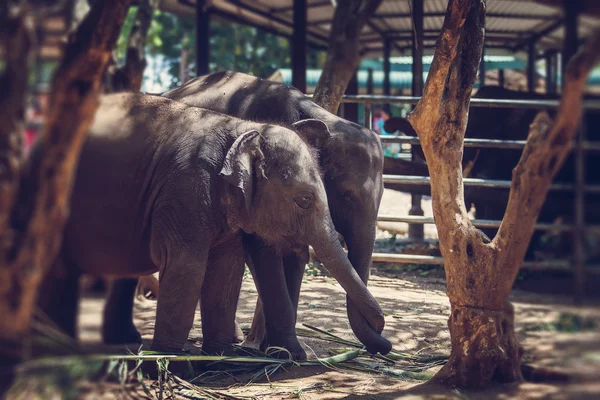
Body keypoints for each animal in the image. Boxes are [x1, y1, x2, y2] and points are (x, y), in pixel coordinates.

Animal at [32, 91, 386, 354]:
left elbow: (260, 261)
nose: (384, 337)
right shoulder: (196, 190)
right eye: (345, 196)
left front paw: (269, 353)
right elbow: (241, 258)